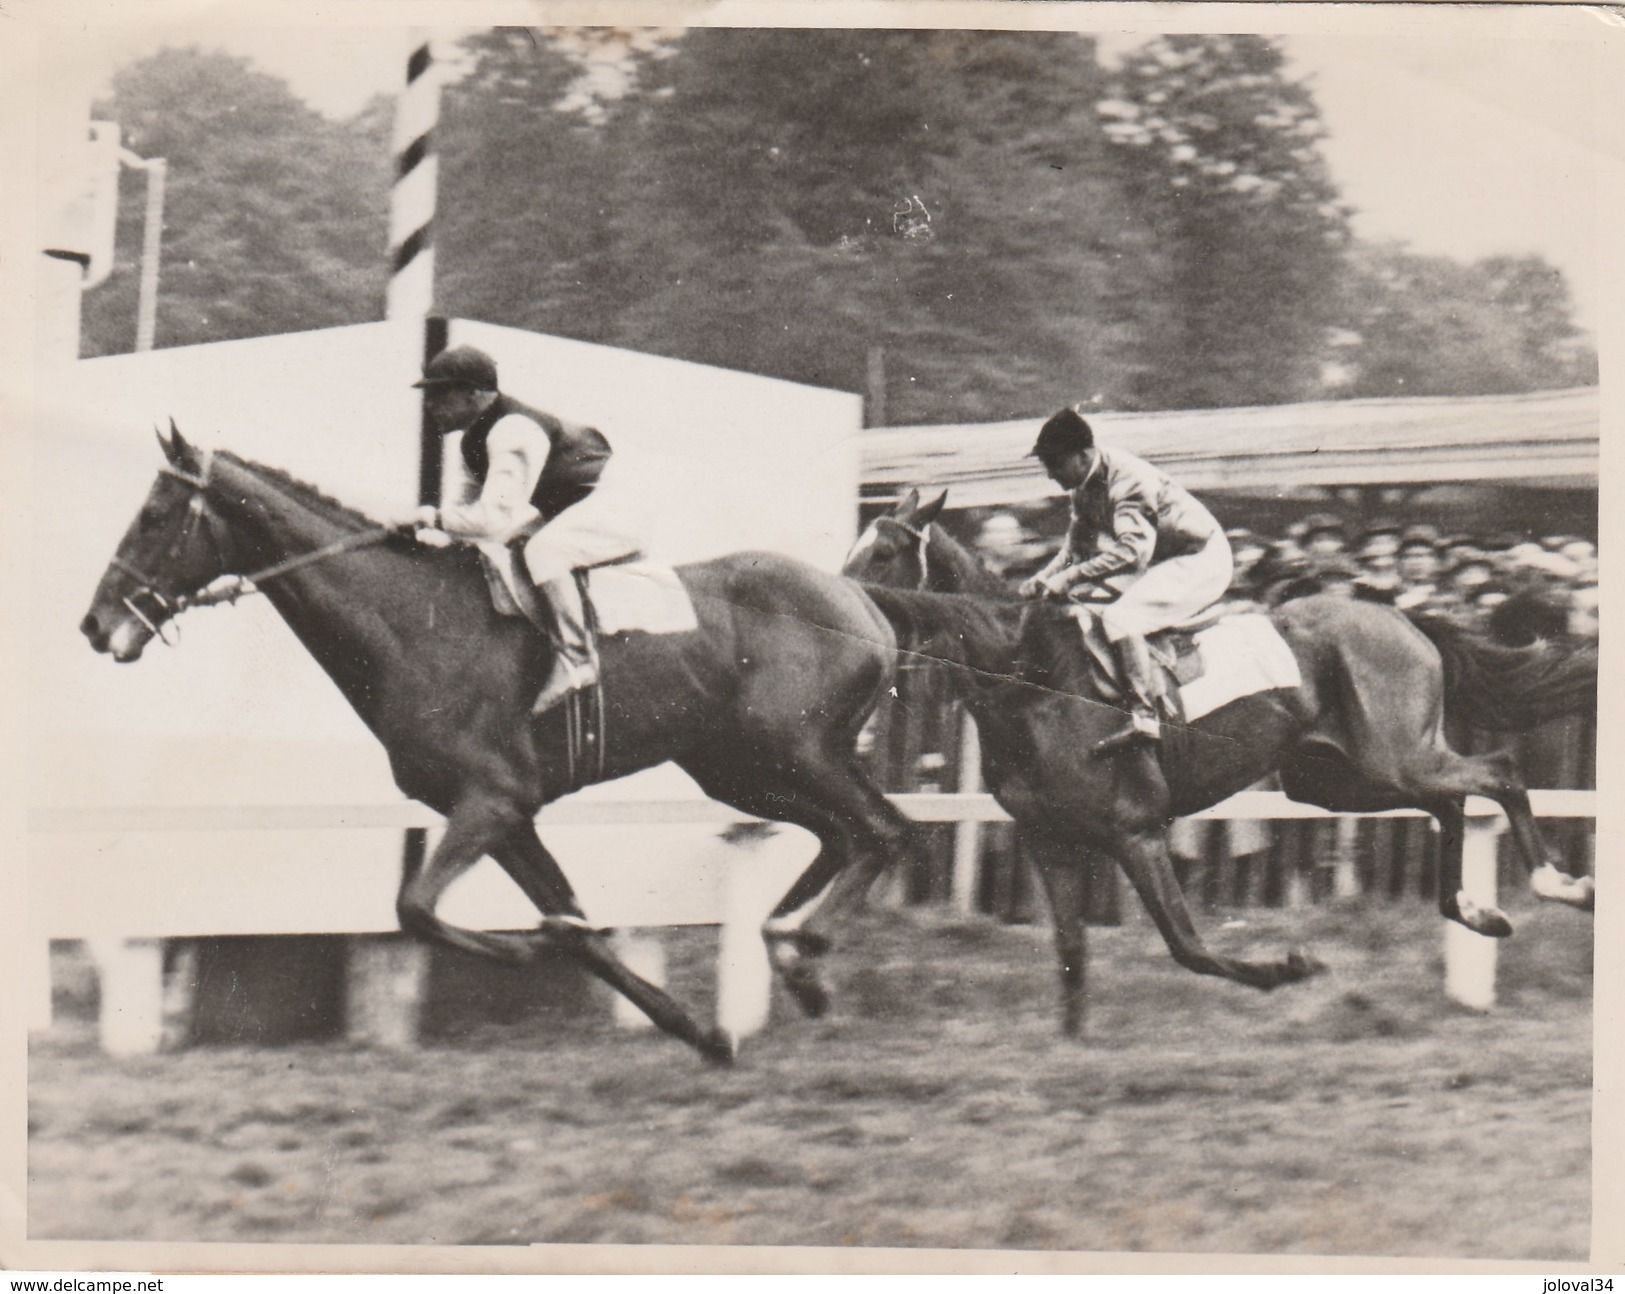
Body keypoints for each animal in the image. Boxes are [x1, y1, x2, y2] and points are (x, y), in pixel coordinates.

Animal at [82, 425, 923, 1059]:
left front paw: (524, 952)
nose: (95, 624)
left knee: (883, 830)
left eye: (155, 515)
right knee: (843, 835)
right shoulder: (509, 813)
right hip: (738, 768)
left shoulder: (489, 799)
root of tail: (859, 597)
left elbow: (418, 909)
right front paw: (701, 1032)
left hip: (796, 750)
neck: (415, 626)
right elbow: (574, 928)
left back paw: (802, 950)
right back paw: (787, 943)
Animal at [845, 490, 1592, 1033]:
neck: (1035, 680)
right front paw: (1070, 1047)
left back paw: (1561, 885)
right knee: (1451, 800)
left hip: (1394, 755)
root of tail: (1405, 616)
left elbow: (1187, 946)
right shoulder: (1048, 838)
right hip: (1337, 779)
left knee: (1498, 772)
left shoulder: (1135, 831)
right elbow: (1071, 951)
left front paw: (1289, 968)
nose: (837, 600)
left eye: (882, 552)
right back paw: (1476, 910)